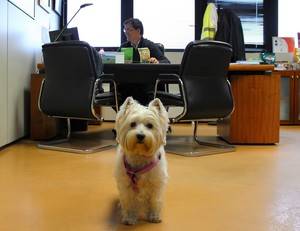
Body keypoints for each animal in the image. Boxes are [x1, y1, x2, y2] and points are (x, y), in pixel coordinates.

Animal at [115, 96, 170, 225]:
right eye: (132, 124)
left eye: (150, 125)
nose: (140, 135)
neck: (140, 155)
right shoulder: (126, 186)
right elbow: (129, 202)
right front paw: (130, 218)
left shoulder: (156, 184)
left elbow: (155, 201)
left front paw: (154, 216)